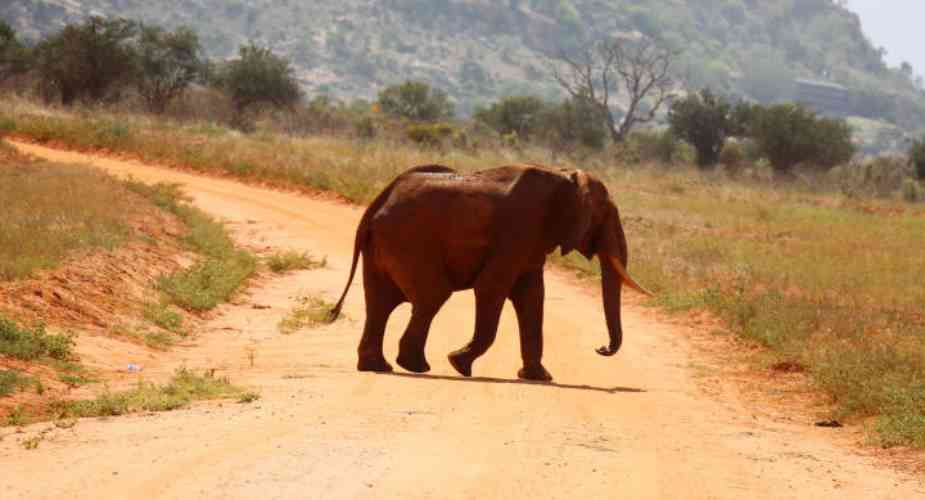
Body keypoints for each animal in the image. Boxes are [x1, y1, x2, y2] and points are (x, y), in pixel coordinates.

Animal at [328, 164, 652, 382]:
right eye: (604, 216)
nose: (601, 349)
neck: (564, 177)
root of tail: (377, 204)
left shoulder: (531, 241)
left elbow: (532, 296)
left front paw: (539, 377)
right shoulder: (517, 232)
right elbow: (492, 288)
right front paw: (459, 364)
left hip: (384, 244)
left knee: (380, 302)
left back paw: (378, 367)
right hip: (408, 241)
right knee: (431, 296)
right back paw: (416, 366)